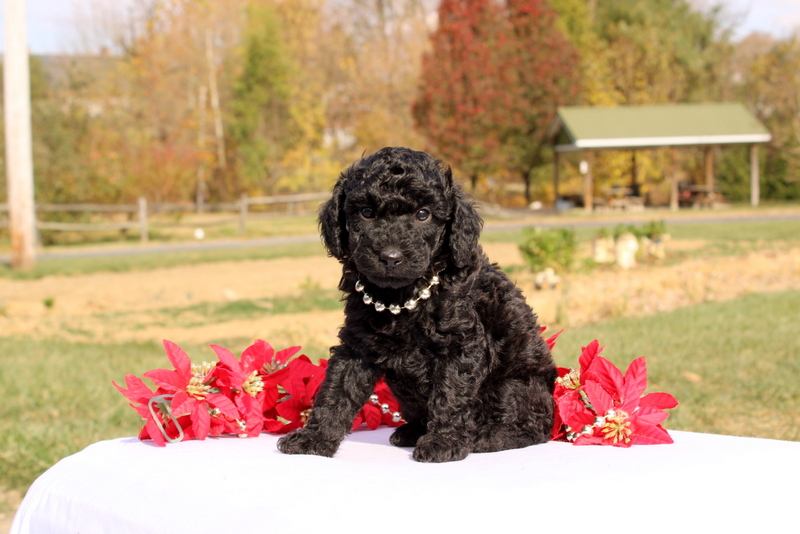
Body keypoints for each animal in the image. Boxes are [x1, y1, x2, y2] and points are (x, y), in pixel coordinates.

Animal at [280, 148, 556, 464]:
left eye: (423, 214)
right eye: (366, 212)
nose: (390, 257)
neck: (402, 298)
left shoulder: (461, 344)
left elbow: (450, 395)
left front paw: (442, 442)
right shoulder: (356, 344)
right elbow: (336, 391)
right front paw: (313, 438)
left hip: (513, 385)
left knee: (532, 427)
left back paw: (487, 437)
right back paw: (411, 431)